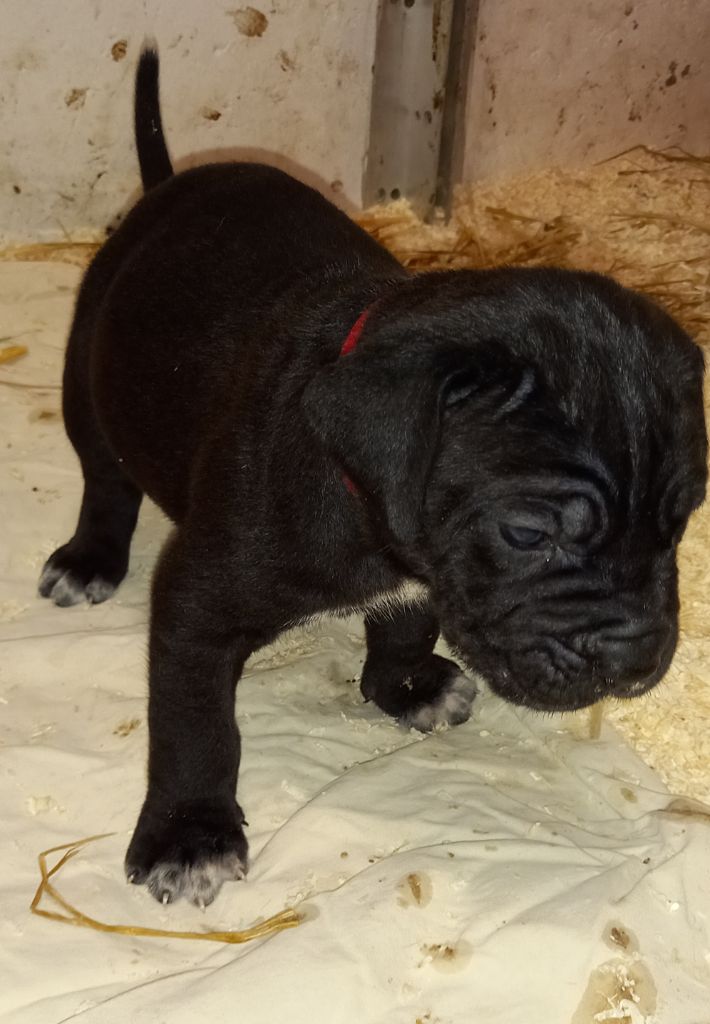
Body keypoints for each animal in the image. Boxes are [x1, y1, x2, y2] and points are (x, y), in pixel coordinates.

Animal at [39, 48, 707, 907]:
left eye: (681, 523)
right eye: (528, 534)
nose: (637, 664)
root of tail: (166, 188)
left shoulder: (422, 571)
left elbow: (404, 623)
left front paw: (406, 685)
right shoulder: (197, 606)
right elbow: (196, 726)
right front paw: (189, 836)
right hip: (87, 369)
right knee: (106, 476)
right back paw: (89, 557)